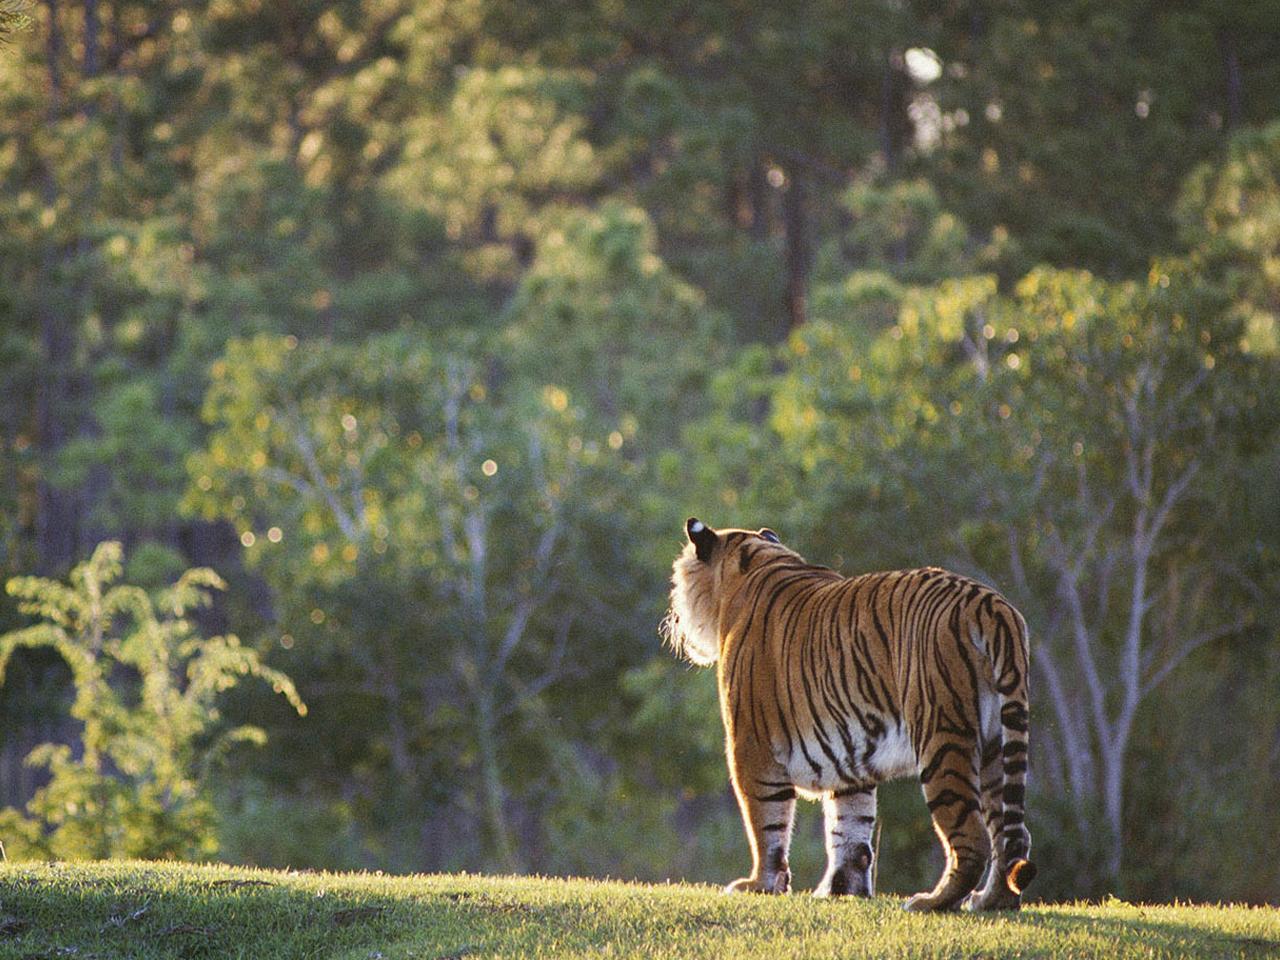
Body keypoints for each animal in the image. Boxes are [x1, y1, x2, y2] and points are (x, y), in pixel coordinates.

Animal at [665, 522, 1034, 911]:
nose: (673, 618)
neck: (754, 563)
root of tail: (992, 605)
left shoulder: (751, 746)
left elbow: (766, 823)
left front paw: (760, 884)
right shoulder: (849, 746)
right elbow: (851, 827)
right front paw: (844, 889)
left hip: (941, 737)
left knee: (972, 834)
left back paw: (931, 902)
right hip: (996, 745)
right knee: (1012, 834)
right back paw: (992, 901)